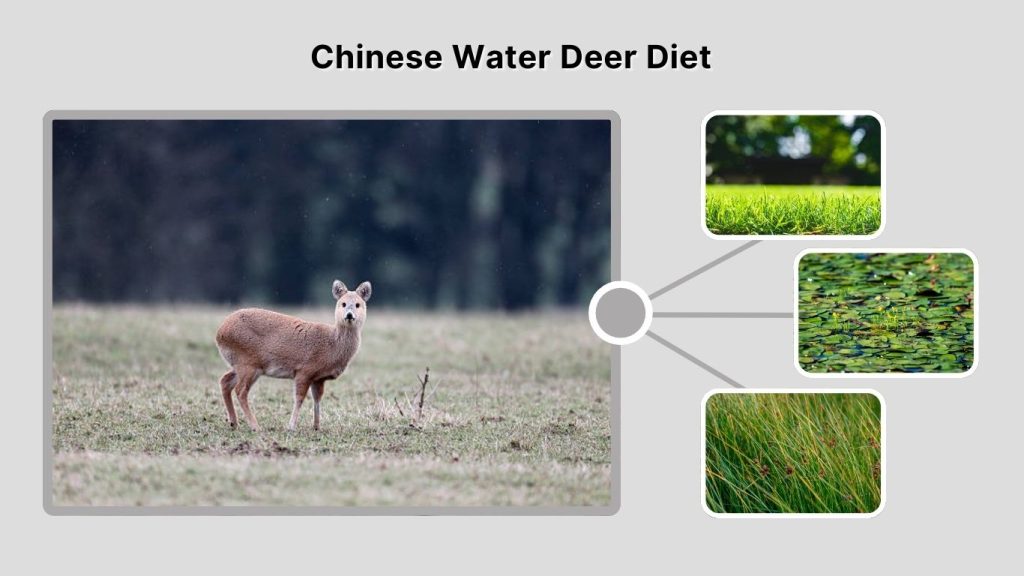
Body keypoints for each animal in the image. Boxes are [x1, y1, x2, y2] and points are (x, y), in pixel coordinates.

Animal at [215, 280, 371, 432]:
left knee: (225, 381)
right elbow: (299, 398)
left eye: (358, 304)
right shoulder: (304, 370)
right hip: (248, 362)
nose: (349, 315)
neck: (332, 344)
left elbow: (317, 399)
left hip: (241, 364)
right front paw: (291, 427)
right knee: (240, 391)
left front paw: (316, 427)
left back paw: (234, 422)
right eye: (343, 303)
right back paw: (255, 426)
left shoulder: (319, 378)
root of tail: (220, 332)